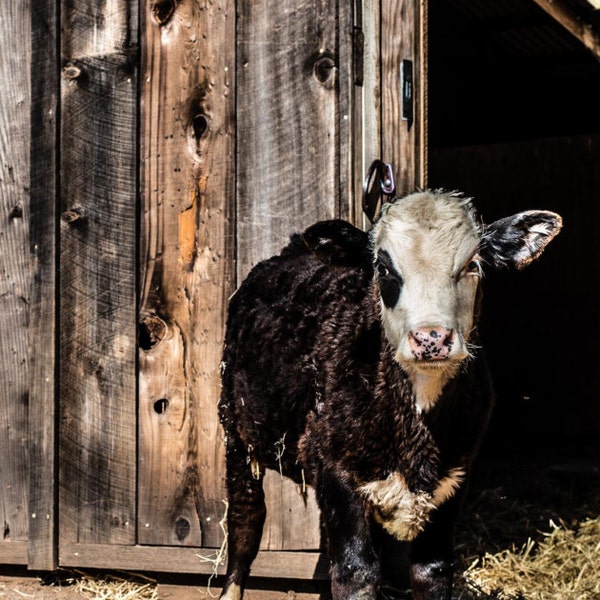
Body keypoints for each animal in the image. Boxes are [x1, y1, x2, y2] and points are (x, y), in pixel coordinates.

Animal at [217, 191, 564, 600]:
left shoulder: (453, 478)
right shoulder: (336, 469)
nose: (431, 338)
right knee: (245, 522)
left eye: (473, 264)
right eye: (382, 269)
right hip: (236, 430)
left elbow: (430, 570)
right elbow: (355, 571)